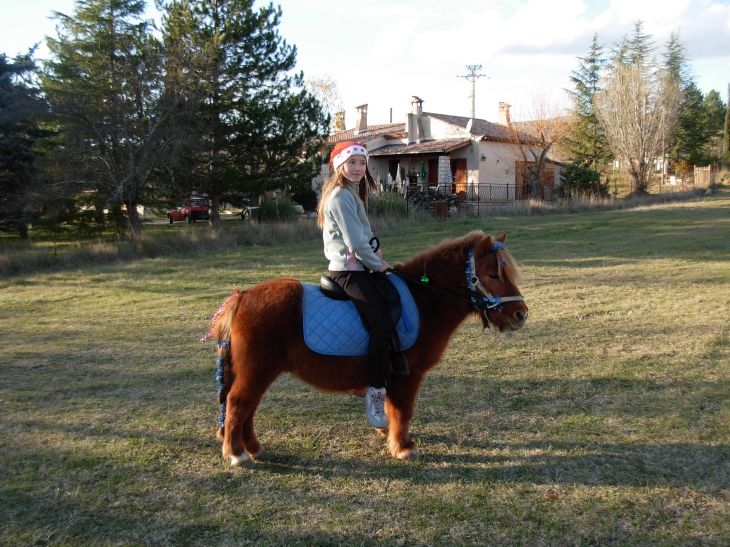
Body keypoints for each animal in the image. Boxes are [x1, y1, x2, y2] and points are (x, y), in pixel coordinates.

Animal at [208, 230, 528, 466]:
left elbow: (391, 409)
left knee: (247, 408)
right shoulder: (408, 375)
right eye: (493, 275)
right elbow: (403, 411)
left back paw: (254, 449)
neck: (424, 300)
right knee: (238, 404)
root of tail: (241, 297)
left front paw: (389, 435)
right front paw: (404, 448)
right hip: (257, 371)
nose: (521, 315)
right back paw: (237, 454)